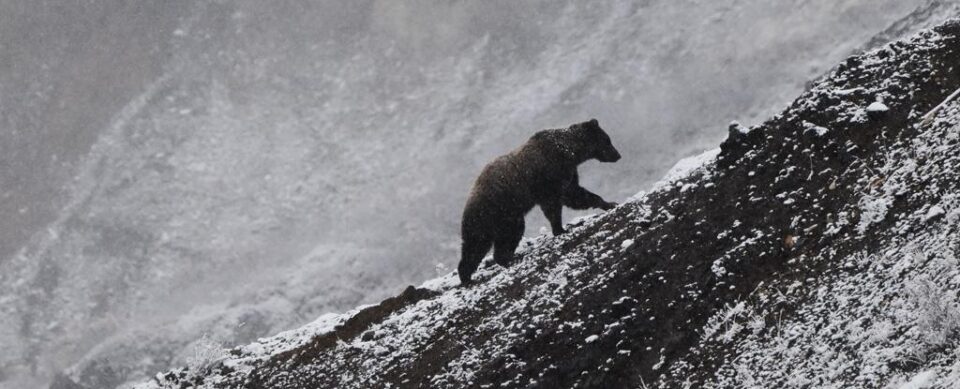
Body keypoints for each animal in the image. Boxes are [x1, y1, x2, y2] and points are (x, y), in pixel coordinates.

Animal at [460, 116, 624, 284]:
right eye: (607, 140)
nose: (617, 155)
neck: (570, 151)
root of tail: (468, 204)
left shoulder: (567, 174)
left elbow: (574, 195)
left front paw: (609, 203)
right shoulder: (550, 175)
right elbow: (556, 203)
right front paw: (560, 229)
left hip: (496, 220)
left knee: (479, 244)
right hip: (499, 211)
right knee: (493, 239)